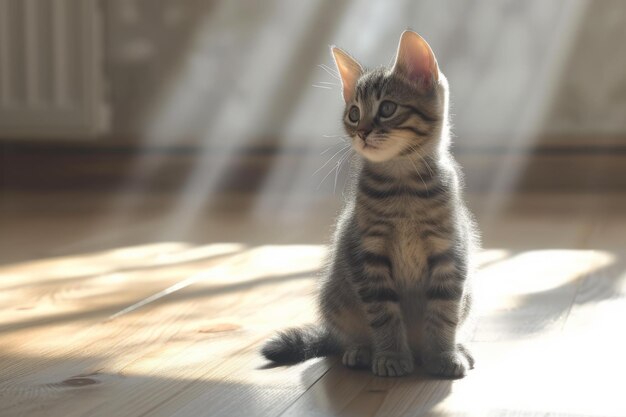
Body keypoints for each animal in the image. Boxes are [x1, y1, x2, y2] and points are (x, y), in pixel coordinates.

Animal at [260, 30, 476, 378]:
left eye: (387, 108)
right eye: (353, 113)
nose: (361, 132)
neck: (402, 187)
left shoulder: (449, 253)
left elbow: (444, 311)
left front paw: (444, 353)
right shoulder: (367, 255)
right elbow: (383, 312)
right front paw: (391, 355)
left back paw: (454, 348)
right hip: (336, 296)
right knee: (345, 336)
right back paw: (361, 350)